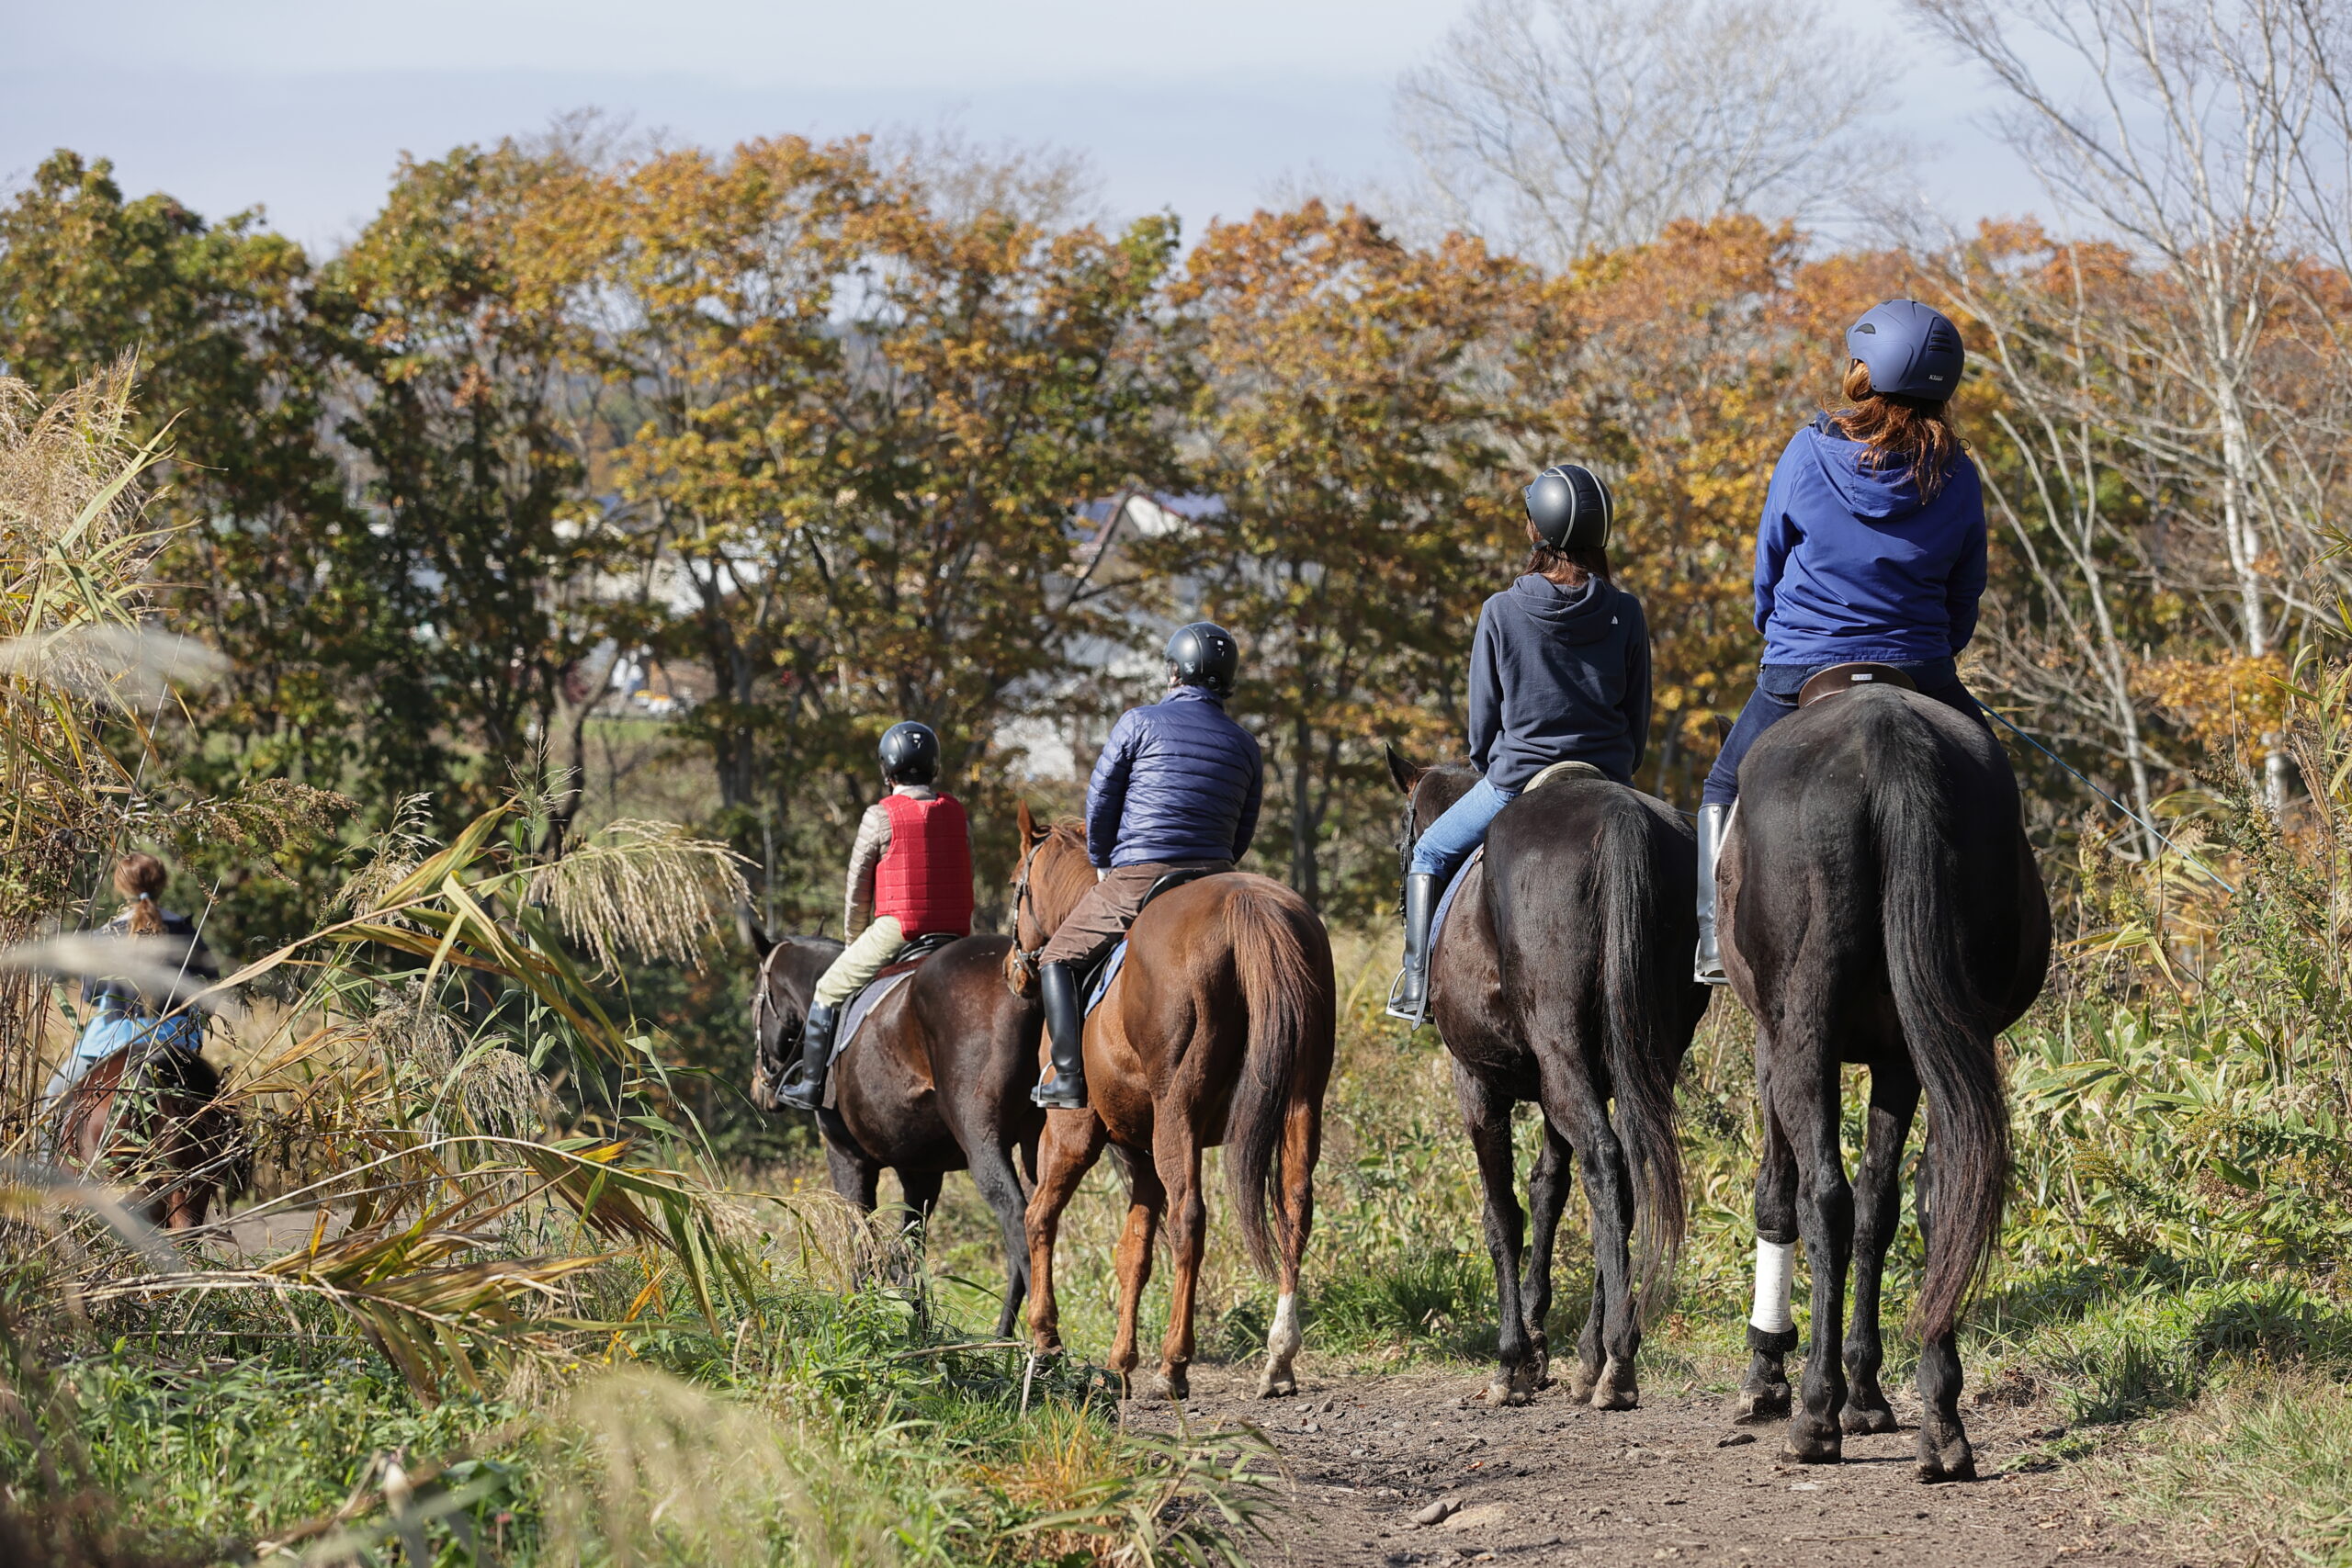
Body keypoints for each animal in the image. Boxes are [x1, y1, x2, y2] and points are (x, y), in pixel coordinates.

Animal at [749, 931, 1045, 1338]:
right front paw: (917, 1324)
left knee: (1016, 1220)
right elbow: (910, 1249)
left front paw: (860, 1316)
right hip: (1039, 1142)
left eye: (753, 1004)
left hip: (983, 1140)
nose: (759, 1089)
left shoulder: (847, 1157)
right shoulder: (921, 1173)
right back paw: (1002, 1338)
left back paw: (1043, 1344)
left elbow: (862, 1242)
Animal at [1006, 803, 1335, 1401]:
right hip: (1301, 1102)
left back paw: (1175, 1364)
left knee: (1190, 1220)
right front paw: (1120, 1361)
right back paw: (1278, 1358)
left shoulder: (1073, 1133)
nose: (1012, 971)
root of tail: (1246, 905)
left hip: (1174, 1116)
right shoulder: (1141, 1152)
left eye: (1017, 883)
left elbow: (1041, 1218)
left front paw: (1046, 1343)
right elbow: (1134, 1251)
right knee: (1295, 1207)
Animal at [1388, 747, 1710, 1408]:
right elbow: (1548, 1190)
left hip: (1561, 1060)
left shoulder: (1476, 1085)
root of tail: (1618, 819)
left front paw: (1513, 1359)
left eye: (1404, 831)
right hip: (1630, 1066)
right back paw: (1596, 1354)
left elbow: (1503, 1215)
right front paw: (1538, 1342)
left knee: (1606, 1162)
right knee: (1623, 1174)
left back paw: (1614, 1358)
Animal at [1720, 683, 2049, 1481]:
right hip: (1939, 1033)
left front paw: (1770, 1374)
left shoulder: (1772, 1048)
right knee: (1940, 1193)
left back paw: (1814, 1414)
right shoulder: (1898, 1060)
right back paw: (1942, 1423)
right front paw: (1867, 1391)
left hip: (1802, 1036)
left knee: (1822, 1197)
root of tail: (1885, 733)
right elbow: (1883, 1205)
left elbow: (1780, 1196)